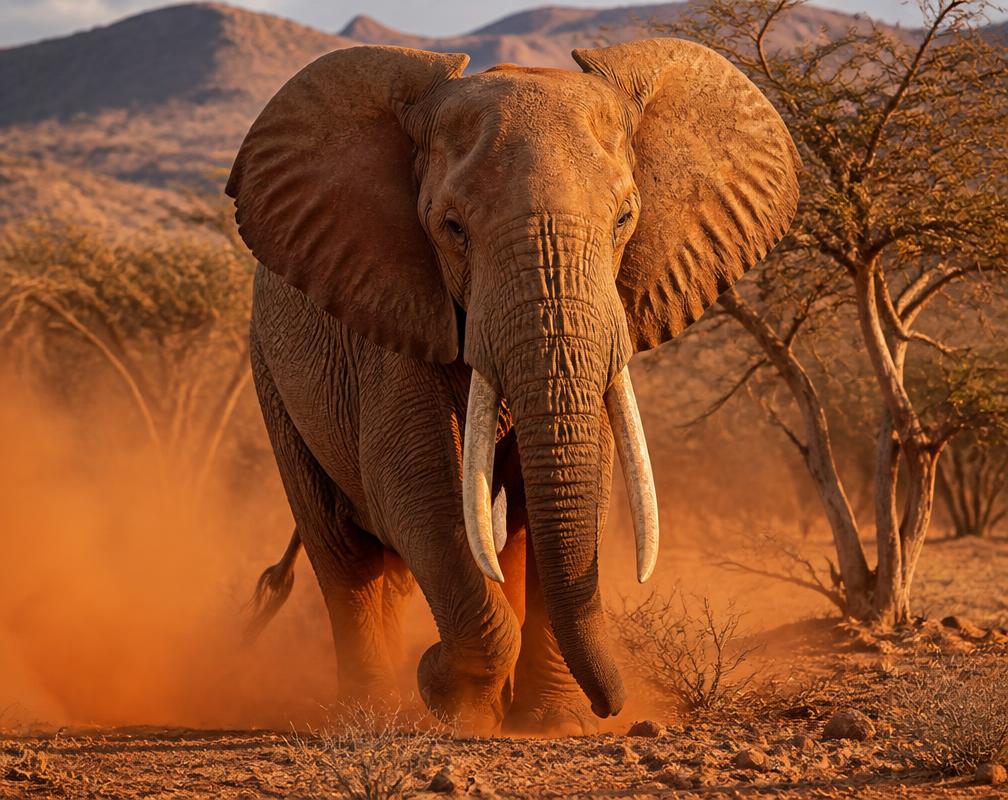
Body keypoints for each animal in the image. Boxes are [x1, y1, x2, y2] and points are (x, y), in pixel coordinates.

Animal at [227, 38, 799, 734]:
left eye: (625, 219)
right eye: (452, 227)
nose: (615, 708)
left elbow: (576, 484)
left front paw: (551, 723)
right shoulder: (392, 309)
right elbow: (418, 489)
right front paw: (452, 697)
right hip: (268, 369)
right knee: (341, 548)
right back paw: (368, 713)